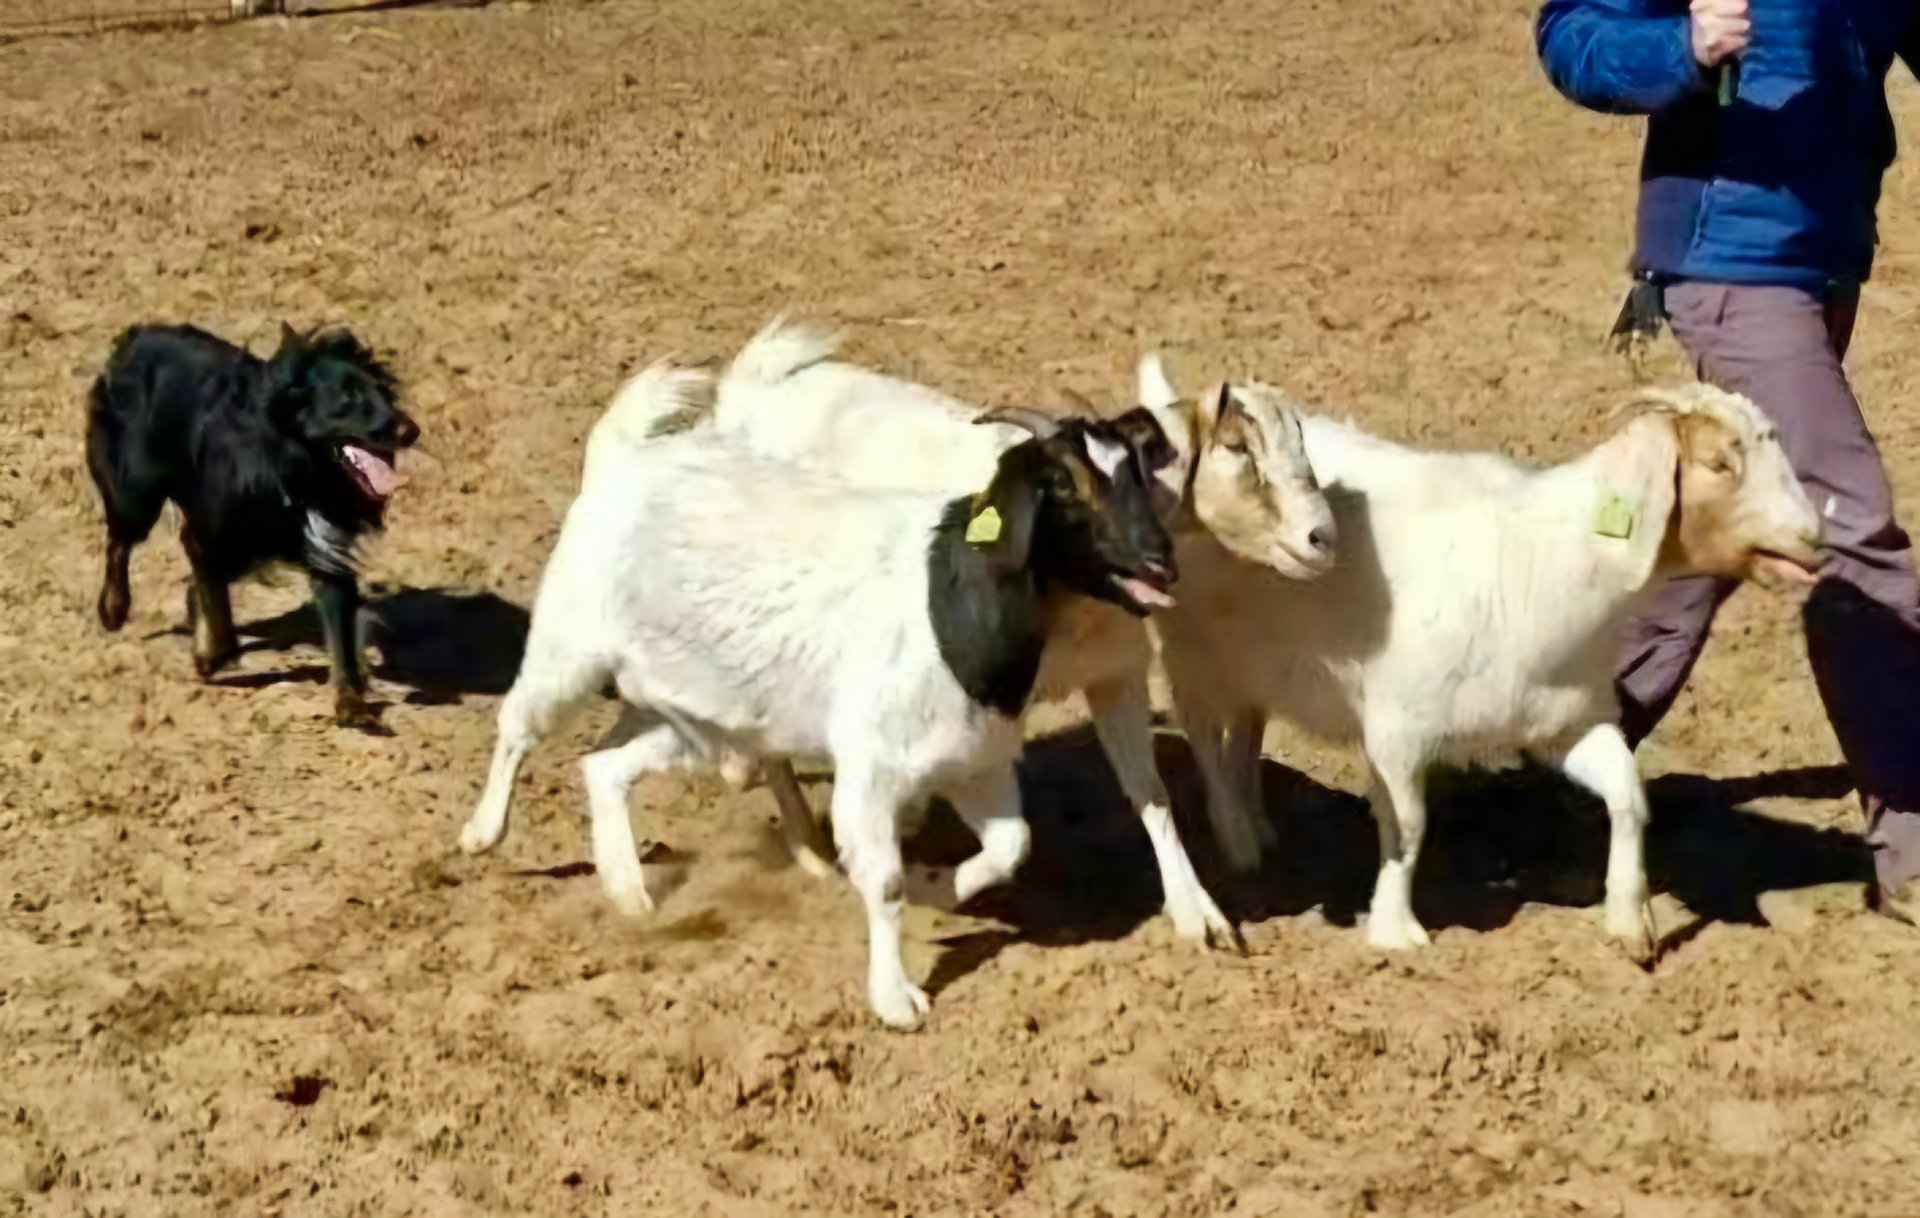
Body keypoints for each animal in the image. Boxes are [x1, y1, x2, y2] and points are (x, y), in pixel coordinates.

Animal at [87, 322, 420, 726]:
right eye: (347, 395)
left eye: (384, 393)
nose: (411, 431)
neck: (302, 471)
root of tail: (139, 333)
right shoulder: (208, 534)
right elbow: (216, 603)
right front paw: (212, 654)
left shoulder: (328, 551)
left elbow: (340, 631)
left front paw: (350, 702)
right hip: (138, 492)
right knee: (119, 542)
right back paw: (114, 608)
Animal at [462, 355, 1175, 1022]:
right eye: (1066, 485)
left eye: (1136, 474)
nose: (1160, 562)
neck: (948, 601)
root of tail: (621, 456)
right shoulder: (871, 770)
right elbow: (883, 882)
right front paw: (896, 1000)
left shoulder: (974, 762)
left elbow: (1009, 847)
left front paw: (934, 886)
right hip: (568, 648)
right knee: (518, 727)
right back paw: (481, 833)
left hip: (691, 718)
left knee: (604, 764)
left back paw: (630, 893)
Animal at [710, 322, 1336, 949]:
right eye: (1237, 447)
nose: (1323, 537)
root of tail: (750, 387)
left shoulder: (1115, 676)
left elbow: (1149, 793)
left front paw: (1197, 912)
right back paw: (805, 845)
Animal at [1144, 365, 1820, 952]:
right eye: (1719, 463)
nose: (1815, 539)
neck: (1539, 566)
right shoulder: (1396, 733)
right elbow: (1409, 826)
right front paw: (1395, 930)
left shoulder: (1562, 723)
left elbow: (1628, 792)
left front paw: (1632, 923)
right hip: (1191, 651)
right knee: (1203, 737)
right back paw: (1236, 838)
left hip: (1252, 662)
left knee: (1246, 732)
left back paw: (1258, 830)